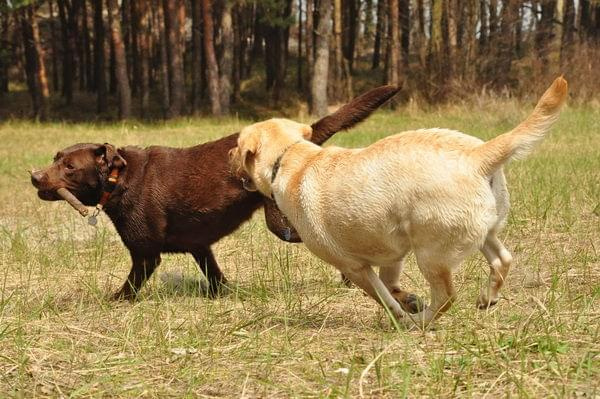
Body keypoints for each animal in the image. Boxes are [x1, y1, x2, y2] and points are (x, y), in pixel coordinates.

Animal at [230, 77, 568, 328]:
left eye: (238, 147)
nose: (228, 154)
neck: (291, 156)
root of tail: (479, 156)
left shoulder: (354, 267)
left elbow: (383, 296)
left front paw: (402, 314)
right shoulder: (392, 254)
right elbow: (390, 283)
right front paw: (407, 300)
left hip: (431, 254)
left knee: (446, 297)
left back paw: (421, 321)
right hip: (482, 233)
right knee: (503, 259)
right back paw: (487, 298)